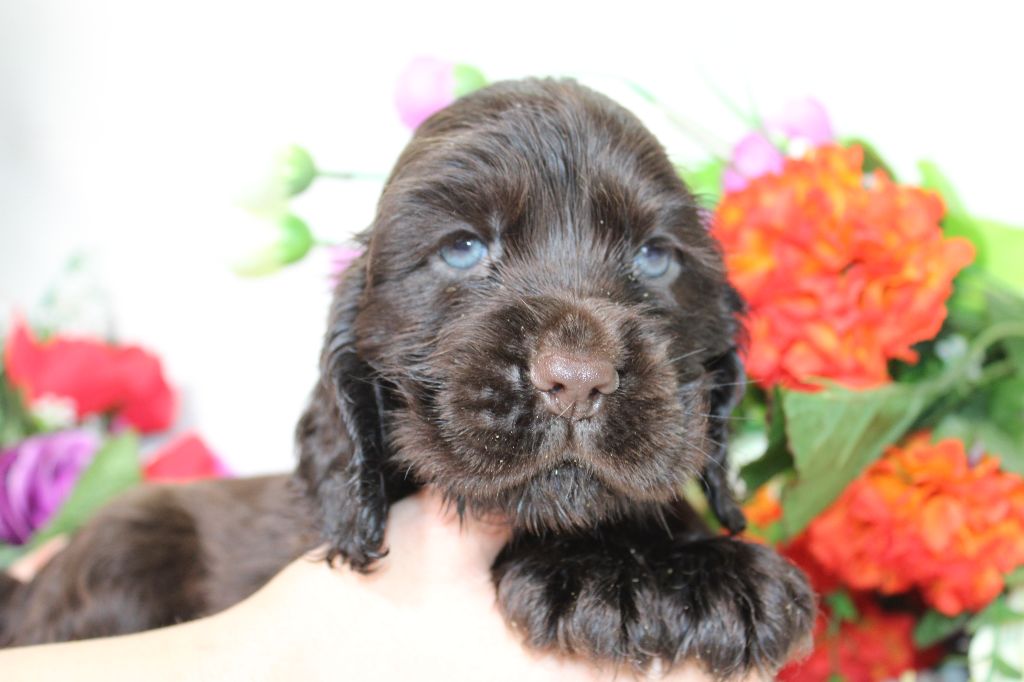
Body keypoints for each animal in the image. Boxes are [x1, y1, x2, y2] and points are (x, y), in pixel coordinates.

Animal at [0, 79, 815, 675]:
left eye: (655, 258)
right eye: (461, 249)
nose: (577, 380)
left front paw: (701, 568)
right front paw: (605, 575)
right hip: (126, 542)